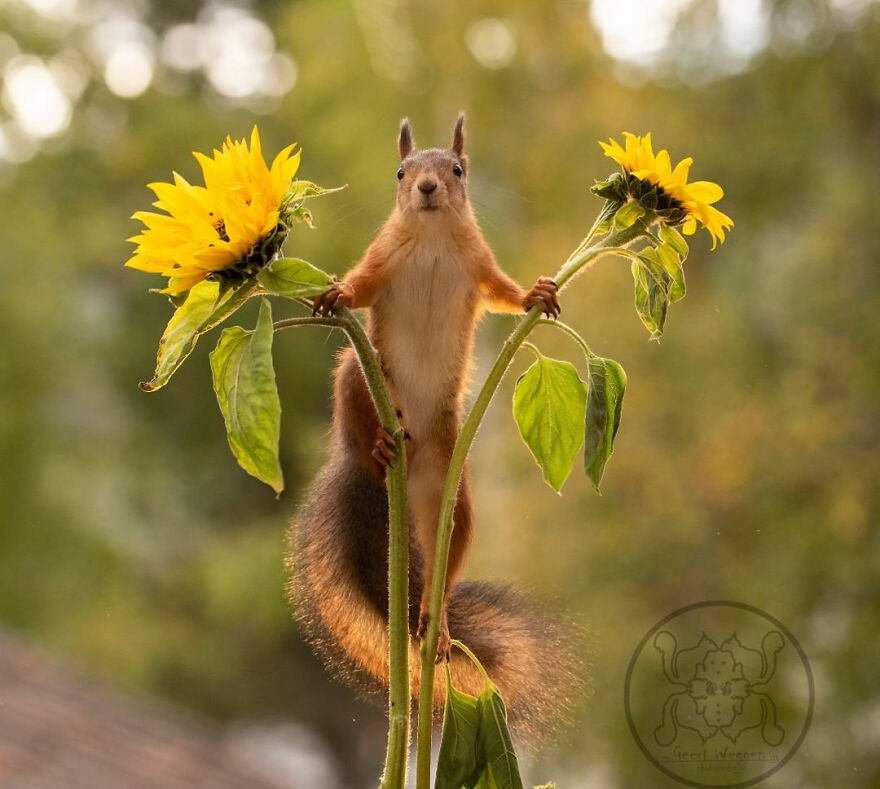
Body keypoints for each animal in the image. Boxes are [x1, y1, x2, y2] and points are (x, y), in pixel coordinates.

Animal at [287, 115, 581, 736]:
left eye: (457, 169)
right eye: (401, 171)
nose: (425, 188)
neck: (432, 239)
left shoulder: (479, 264)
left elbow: (505, 292)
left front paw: (537, 293)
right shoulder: (382, 258)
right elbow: (362, 285)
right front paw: (338, 291)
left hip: (451, 490)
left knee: (447, 560)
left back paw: (435, 621)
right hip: (359, 371)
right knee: (352, 408)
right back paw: (375, 442)